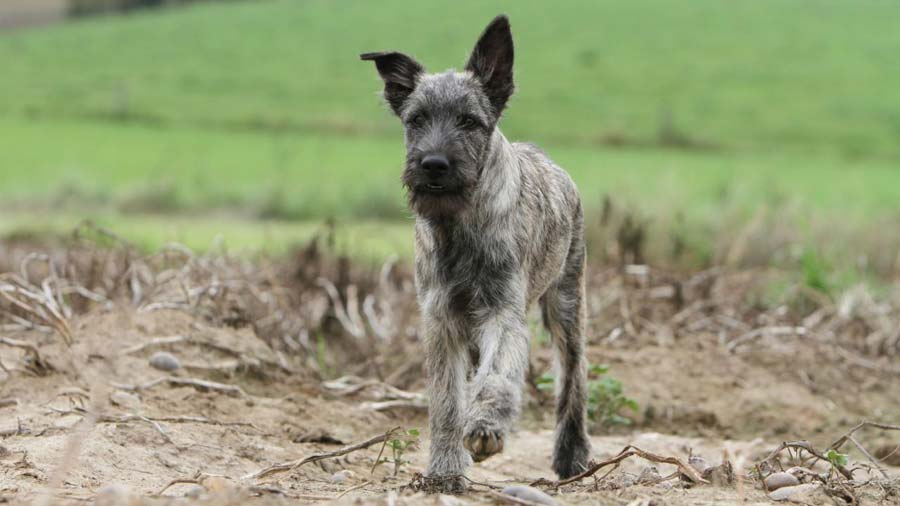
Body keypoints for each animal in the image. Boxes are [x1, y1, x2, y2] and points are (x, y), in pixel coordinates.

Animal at [362, 15, 596, 494]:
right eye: (416, 119)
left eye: (469, 121)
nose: (433, 164)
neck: (459, 227)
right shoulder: (441, 321)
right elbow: (447, 400)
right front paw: (446, 469)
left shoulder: (502, 312)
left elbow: (499, 374)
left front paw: (486, 426)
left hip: (567, 303)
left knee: (573, 378)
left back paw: (572, 455)